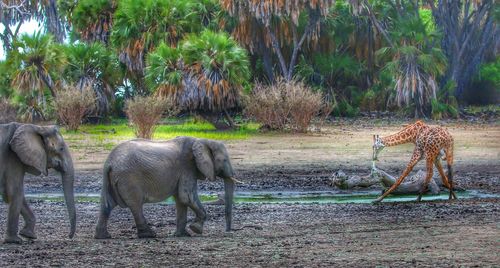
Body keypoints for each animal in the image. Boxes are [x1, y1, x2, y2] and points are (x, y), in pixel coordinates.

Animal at [95, 136, 240, 239]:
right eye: (224, 160)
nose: (228, 231)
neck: (202, 140)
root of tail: (109, 162)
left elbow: (181, 200)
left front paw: (182, 235)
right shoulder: (187, 167)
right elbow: (186, 196)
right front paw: (196, 229)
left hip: (110, 178)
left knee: (106, 205)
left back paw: (103, 237)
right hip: (129, 178)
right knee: (136, 205)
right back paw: (149, 235)